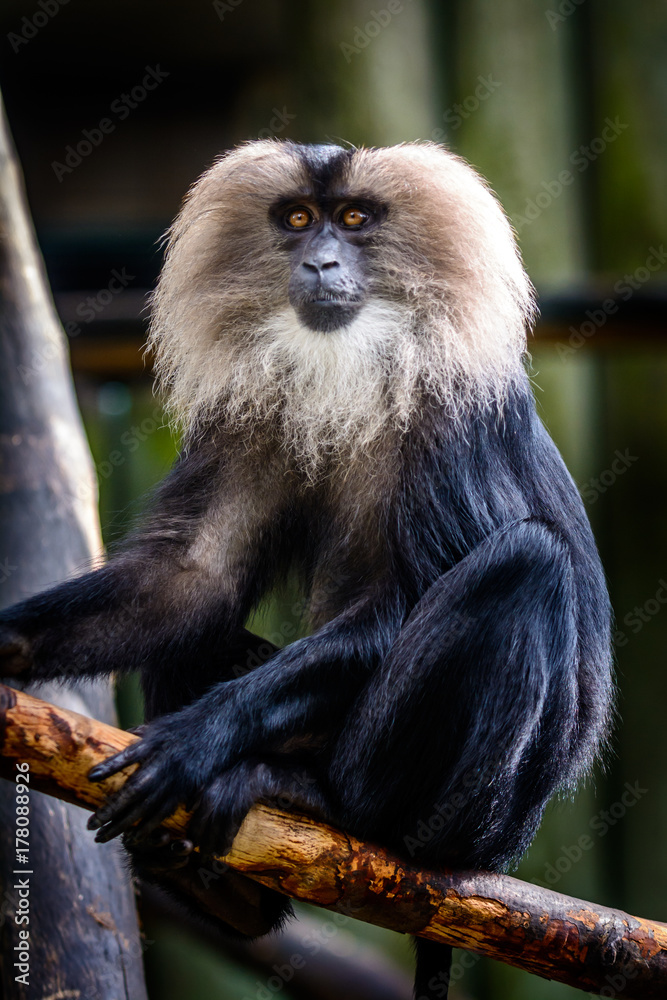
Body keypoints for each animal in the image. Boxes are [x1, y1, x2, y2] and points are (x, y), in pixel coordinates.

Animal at [0, 141, 612, 998]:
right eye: (296, 219)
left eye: (352, 219)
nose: (320, 262)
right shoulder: (246, 413)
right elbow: (193, 581)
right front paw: (8, 645)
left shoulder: (448, 417)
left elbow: (398, 606)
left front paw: (198, 737)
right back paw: (219, 890)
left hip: (479, 820)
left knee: (525, 562)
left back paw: (323, 804)